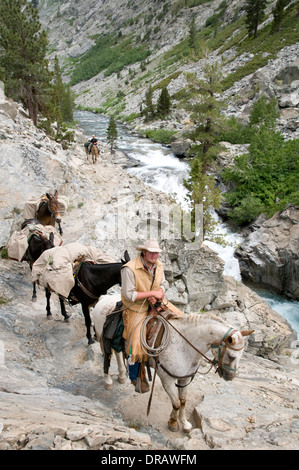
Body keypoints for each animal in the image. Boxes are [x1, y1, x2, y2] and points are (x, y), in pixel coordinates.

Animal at [91, 294, 253, 434]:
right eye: (231, 356)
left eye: (241, 355)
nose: (230, 377)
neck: (184, 345)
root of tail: (104, 298)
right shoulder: (167, 379)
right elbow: (176, 403)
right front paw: (173, 423)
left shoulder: (185, 378)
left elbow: (183, 401)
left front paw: (185, 423)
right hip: (102, 340)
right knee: (107, 358)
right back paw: (108, 381)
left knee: (118, 354)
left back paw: (122, 376)